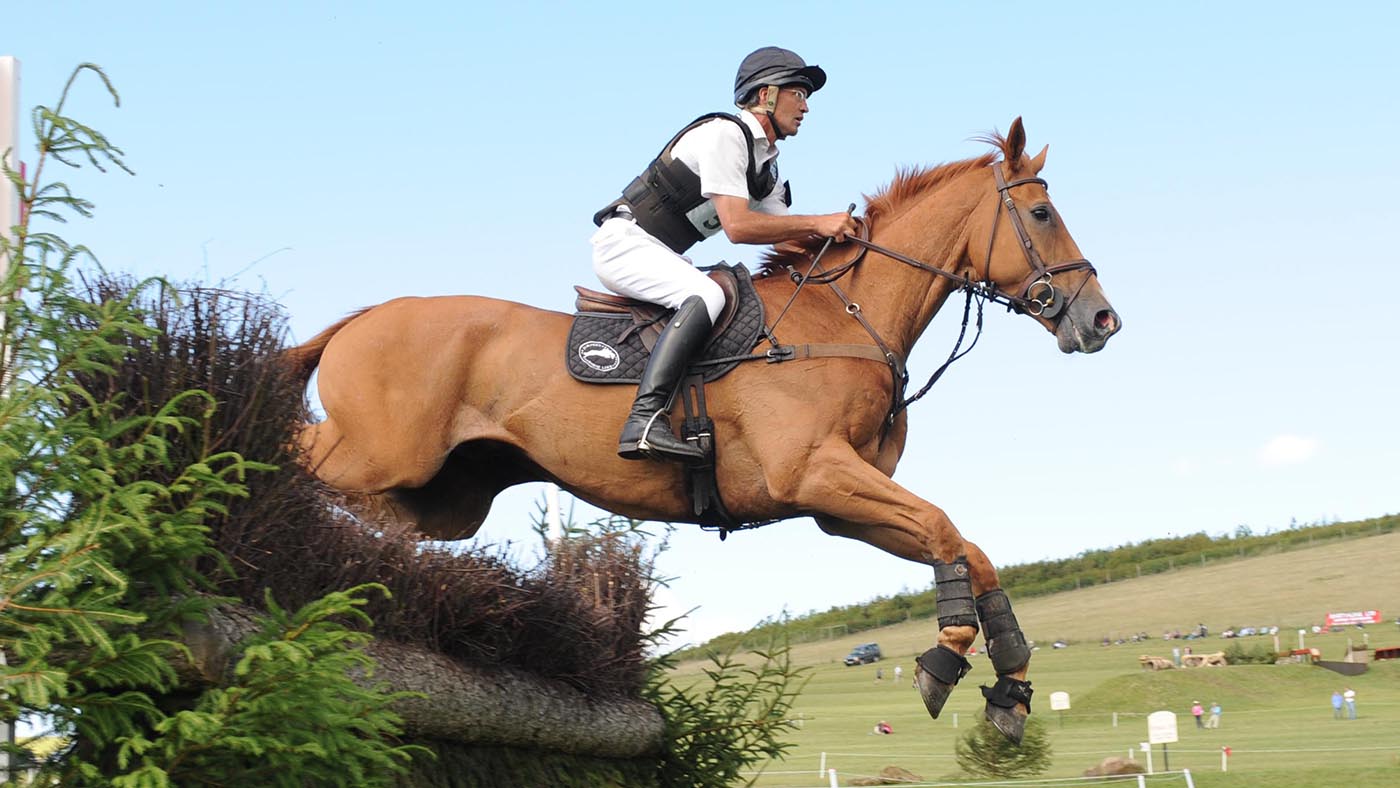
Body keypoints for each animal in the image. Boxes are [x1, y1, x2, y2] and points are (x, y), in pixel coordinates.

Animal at [283, 118, 1121, 743]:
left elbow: (967, 550)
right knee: (291, 454)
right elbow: (947, 530)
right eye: (1041, 214)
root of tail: (361, 319)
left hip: (441, 498)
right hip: (377, 452)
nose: (1101, 320)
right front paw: (945, 661)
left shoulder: (840, 506)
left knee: (378, 519)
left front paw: (1010, 687)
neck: (843, 318)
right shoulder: (816, 475)